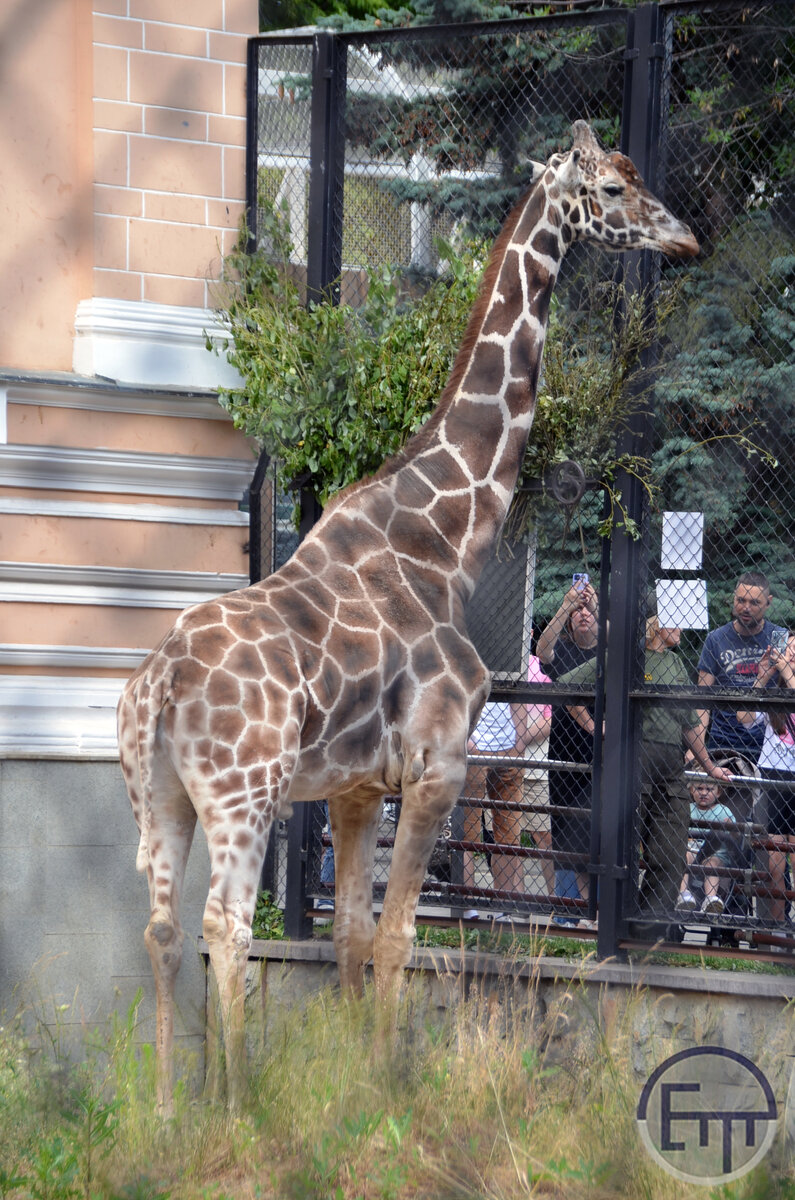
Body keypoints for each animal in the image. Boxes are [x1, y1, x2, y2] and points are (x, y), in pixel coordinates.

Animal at [117, 119, 696, 1104]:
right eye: (615, 190)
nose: (684, 238)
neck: (447, 535)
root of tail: (156, 687)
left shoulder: (354, 788)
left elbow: (351, 936)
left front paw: (351, 1083)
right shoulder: (438, 764)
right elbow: (400, 937)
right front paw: (387, 1087)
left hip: (157, 793)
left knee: (162, 927)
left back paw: (165, 1110)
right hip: (243, 791)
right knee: (226, 924)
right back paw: (232, 1101)